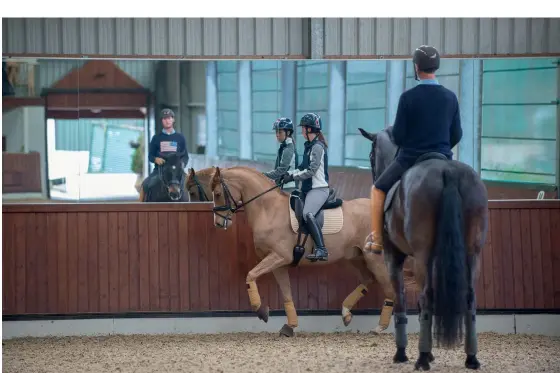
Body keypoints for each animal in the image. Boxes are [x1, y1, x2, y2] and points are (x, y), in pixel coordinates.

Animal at [360, 127, 488, 370]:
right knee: (470, 298)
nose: (374, 174)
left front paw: (403, 353)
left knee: (426, 296)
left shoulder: (393, 257)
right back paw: (471, 358)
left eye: (371, 155)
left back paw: (420, 359)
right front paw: (428, 354)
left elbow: (400, 298)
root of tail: (447, 172)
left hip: (421, 255)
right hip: (472, 252)